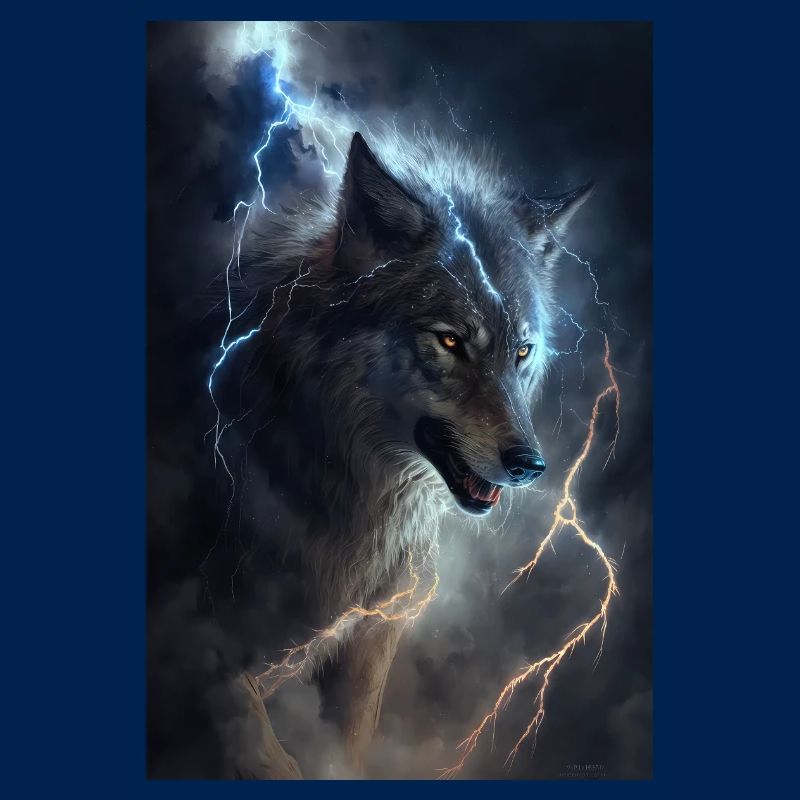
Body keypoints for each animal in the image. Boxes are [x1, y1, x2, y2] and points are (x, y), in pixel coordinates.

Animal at [202, 130, 592, 778]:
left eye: (522, 351)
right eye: (451, 340)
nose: (529, 465)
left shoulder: (367, 638)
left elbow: (347, 745)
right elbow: (267, 752)